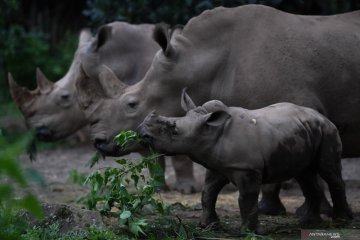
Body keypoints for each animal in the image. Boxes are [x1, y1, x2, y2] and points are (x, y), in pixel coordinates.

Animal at [139, 89, 352, 232]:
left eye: (174, 130)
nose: (142, 132)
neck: (209, 132)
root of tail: (323, 117)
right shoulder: (218, 167)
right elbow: (208, 193)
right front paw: (208, 226)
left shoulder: (247, 169)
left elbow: (246, 198)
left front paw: (251, 232)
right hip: (307, 131)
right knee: (305, 174)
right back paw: (309, 223)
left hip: (327, 131)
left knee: (328, 172)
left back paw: (341, 222)